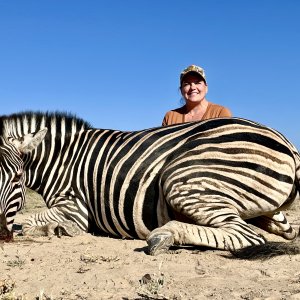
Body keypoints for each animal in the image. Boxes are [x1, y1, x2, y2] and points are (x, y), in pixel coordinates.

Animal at [0, 111, 300, 256]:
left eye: (17, 177)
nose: (2, 235)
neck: (63, 158)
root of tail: (287, 143)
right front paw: (57, 229)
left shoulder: (75, 206)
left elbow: (28, 220)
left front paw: (58, 229)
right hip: (267, 210)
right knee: (281, 230)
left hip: (181, 181)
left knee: (246, 235)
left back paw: (165, 235)